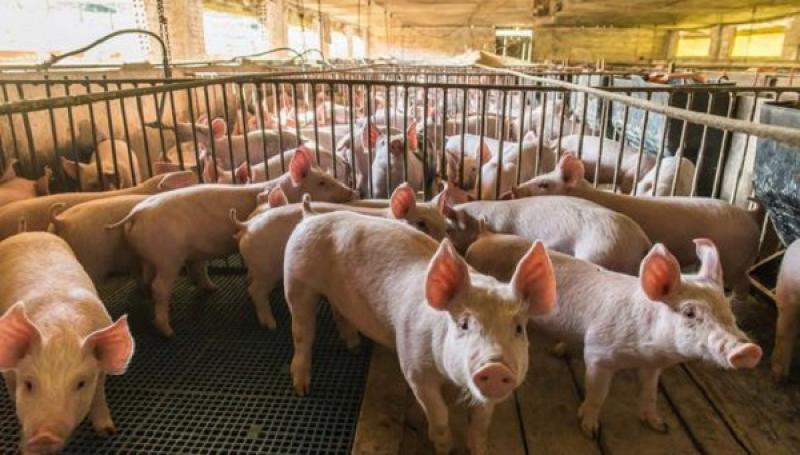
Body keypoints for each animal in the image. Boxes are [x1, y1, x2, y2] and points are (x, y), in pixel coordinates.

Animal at [0, 232, 135, 454]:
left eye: (80, 384)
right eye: (28, 383)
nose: (45, 436)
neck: (61, 330)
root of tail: (27, 233)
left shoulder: (100, 372)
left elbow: (98, 395)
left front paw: (107, 431)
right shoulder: (9, 374)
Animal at [107, 147, 357, 337]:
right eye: (323, 182)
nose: (352, 191)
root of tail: (136, 213)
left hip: (148, 256)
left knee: (148, 279)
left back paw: (206, 290)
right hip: (168, 256)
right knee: (160, 286)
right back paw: (168, 331)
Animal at [233, 183, 448, 329]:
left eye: (444, 224)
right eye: (421, 223)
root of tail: (247, 226)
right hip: (266, 267)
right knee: (255, 290)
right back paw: (271, 324)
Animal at [283, 210, 556, 454]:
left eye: (519, 328)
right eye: (464, 324)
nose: (496, 367)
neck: (450, 379)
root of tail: (310, 216)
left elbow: (481, 422)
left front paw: (478, 448)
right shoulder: (414, 368)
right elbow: (439, 413)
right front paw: (444, 448)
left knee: (339, 313)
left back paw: (354, 347)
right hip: (296, 280)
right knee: (302, 331)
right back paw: (302, 388)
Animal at [465, 230, 762, 437]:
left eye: (728, 310)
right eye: (690, 313)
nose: (748, 349)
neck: (644, 351)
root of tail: (484, 237)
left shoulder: (652, 365)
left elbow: (649, 393)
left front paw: (660, 426)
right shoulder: (599, 353)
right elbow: (598, 393)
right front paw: (590, 430)